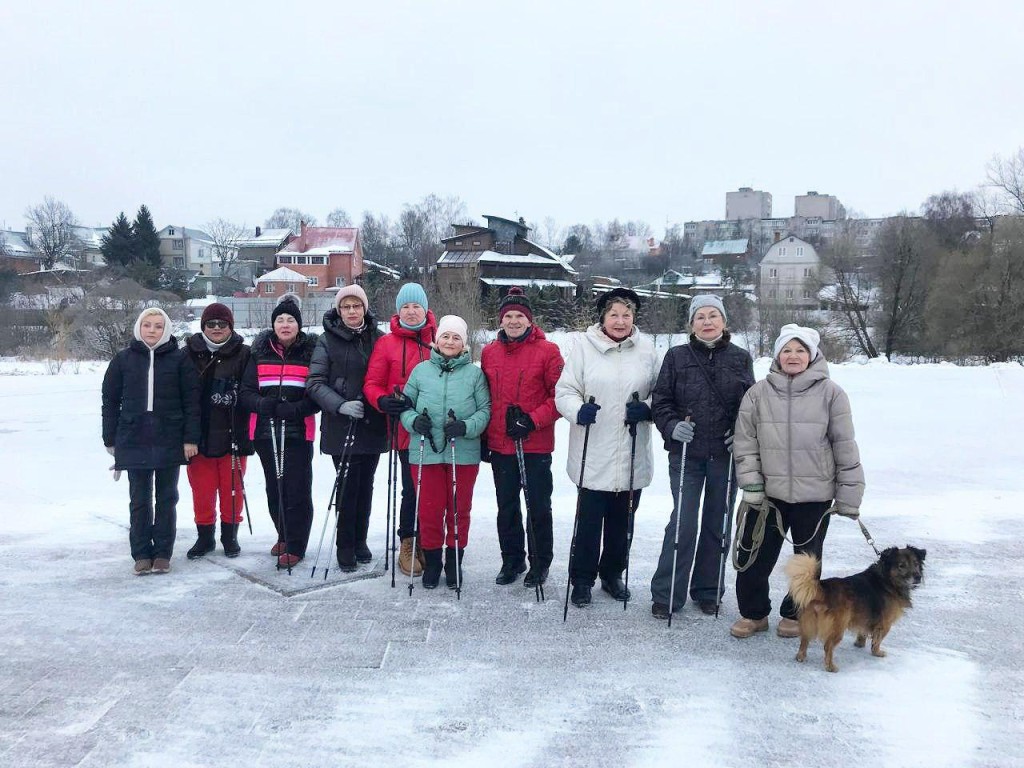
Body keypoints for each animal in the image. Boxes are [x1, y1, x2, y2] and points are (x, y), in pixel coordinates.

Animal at [782, 548, 929, 671]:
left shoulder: (865, 617)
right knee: (827, 646)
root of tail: (823, 588)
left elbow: (863, 631)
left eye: (916, 563)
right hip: (838, 627)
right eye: (901, 565)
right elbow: (877, 640)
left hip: (809, 622)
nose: (917, 577)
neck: (886, 579)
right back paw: (830, 667)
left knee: (804, 640)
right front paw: (877, 652)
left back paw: (800, 657)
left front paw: (859, 643)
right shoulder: (884, 624)